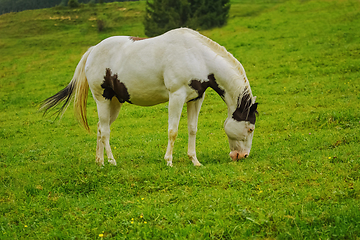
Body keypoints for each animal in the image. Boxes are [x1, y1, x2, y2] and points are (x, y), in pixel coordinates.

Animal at [40, 27, 258, 167]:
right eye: (250, 128)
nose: (243, 156)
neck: (197, 56)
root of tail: (93, 50)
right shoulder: (176, 96)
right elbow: (173, 131)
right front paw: (169, 161)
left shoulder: (196, 99)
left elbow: (192, 129)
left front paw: (195, 161)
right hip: (102, 99)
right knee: (105, 131)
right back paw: (111, 161)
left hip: (114, 103)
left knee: (101, 129)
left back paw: (100, 162)